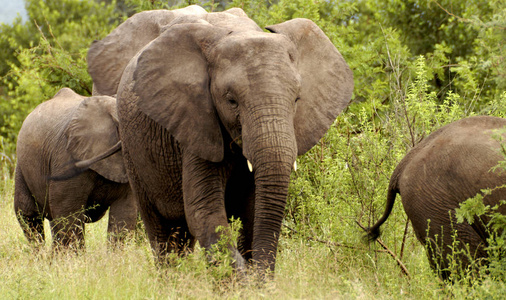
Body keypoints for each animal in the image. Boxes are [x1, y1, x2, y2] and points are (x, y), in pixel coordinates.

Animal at [87, 5, 354, 274]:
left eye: (297, 99)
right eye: (231, 100)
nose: (260, 276)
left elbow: (252, 212)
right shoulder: (195, 121)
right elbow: (205, 212)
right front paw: (241, 278)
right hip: (134, 152)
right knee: (161, 228)